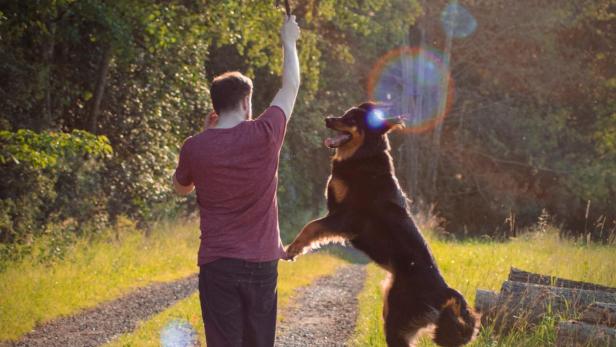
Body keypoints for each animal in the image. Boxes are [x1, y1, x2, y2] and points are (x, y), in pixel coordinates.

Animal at [286, 102, 478, 346]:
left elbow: (311, 226)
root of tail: (444, 292)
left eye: (351, 119)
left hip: (396, 318)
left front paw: (293, 249)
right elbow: (312, 226)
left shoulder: (347, 217)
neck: (363, 156)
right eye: (344, 114)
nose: (327, 119)